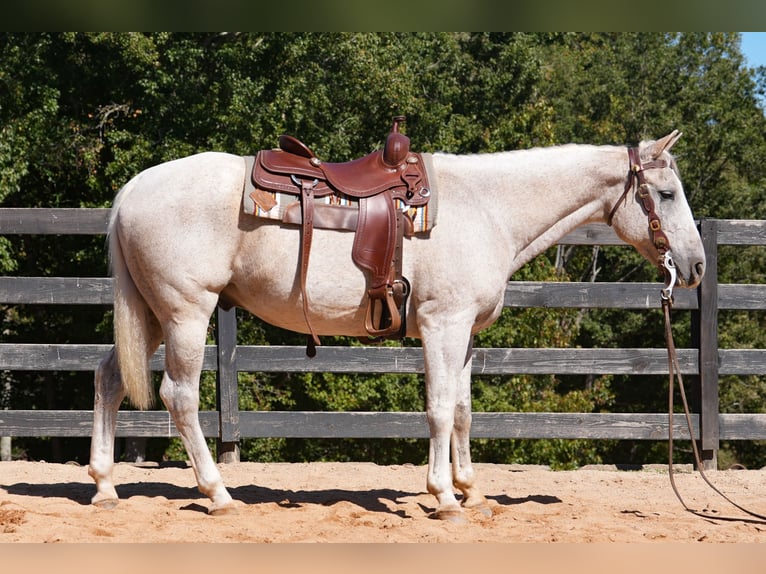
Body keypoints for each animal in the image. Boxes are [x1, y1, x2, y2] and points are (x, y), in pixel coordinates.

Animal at [88, 130, 705, 521]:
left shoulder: (464, 333)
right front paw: (445, 498)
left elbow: (463, 409)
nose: (696, 267)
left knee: (108, 378)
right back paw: (217, 494)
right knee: (181, 396)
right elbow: (438, 409)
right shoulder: (442, 326)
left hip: (149, 313)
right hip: (185, 312)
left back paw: (105, 486)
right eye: (667, 193)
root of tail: (131, 190)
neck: (488, 207)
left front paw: (472, 491)